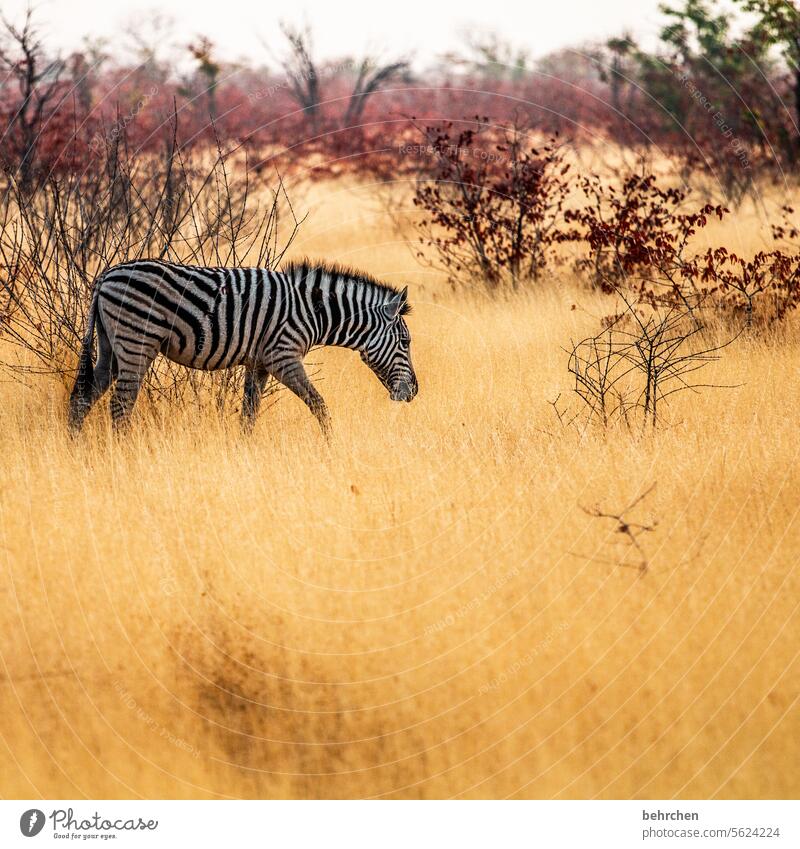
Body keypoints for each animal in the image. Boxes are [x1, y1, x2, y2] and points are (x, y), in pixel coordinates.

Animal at [67, 256, 418, 430]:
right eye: (405, 341)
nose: (413, 392)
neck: (312, 312)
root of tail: (106, 276)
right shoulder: (282, 356)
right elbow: (319, 406)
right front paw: (330, 447)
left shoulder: (258, 362)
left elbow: (249, 415)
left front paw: (244, 453)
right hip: (137, 342)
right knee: (119, 405)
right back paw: (125, 458)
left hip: (111, 346)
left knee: (83, 398)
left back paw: (77, 452)